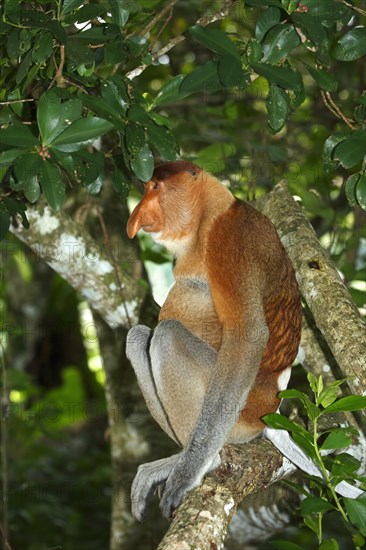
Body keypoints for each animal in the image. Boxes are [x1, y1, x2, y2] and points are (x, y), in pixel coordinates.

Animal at [126, 161, 364, 520]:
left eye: (154, 187)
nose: (137, 214)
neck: (207, 216)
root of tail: (272, 408)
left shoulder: (231, 238)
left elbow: (247, 336)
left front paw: (186, 475)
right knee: (138, 336)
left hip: (241, 408)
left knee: (166, 337)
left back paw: (204, 462)